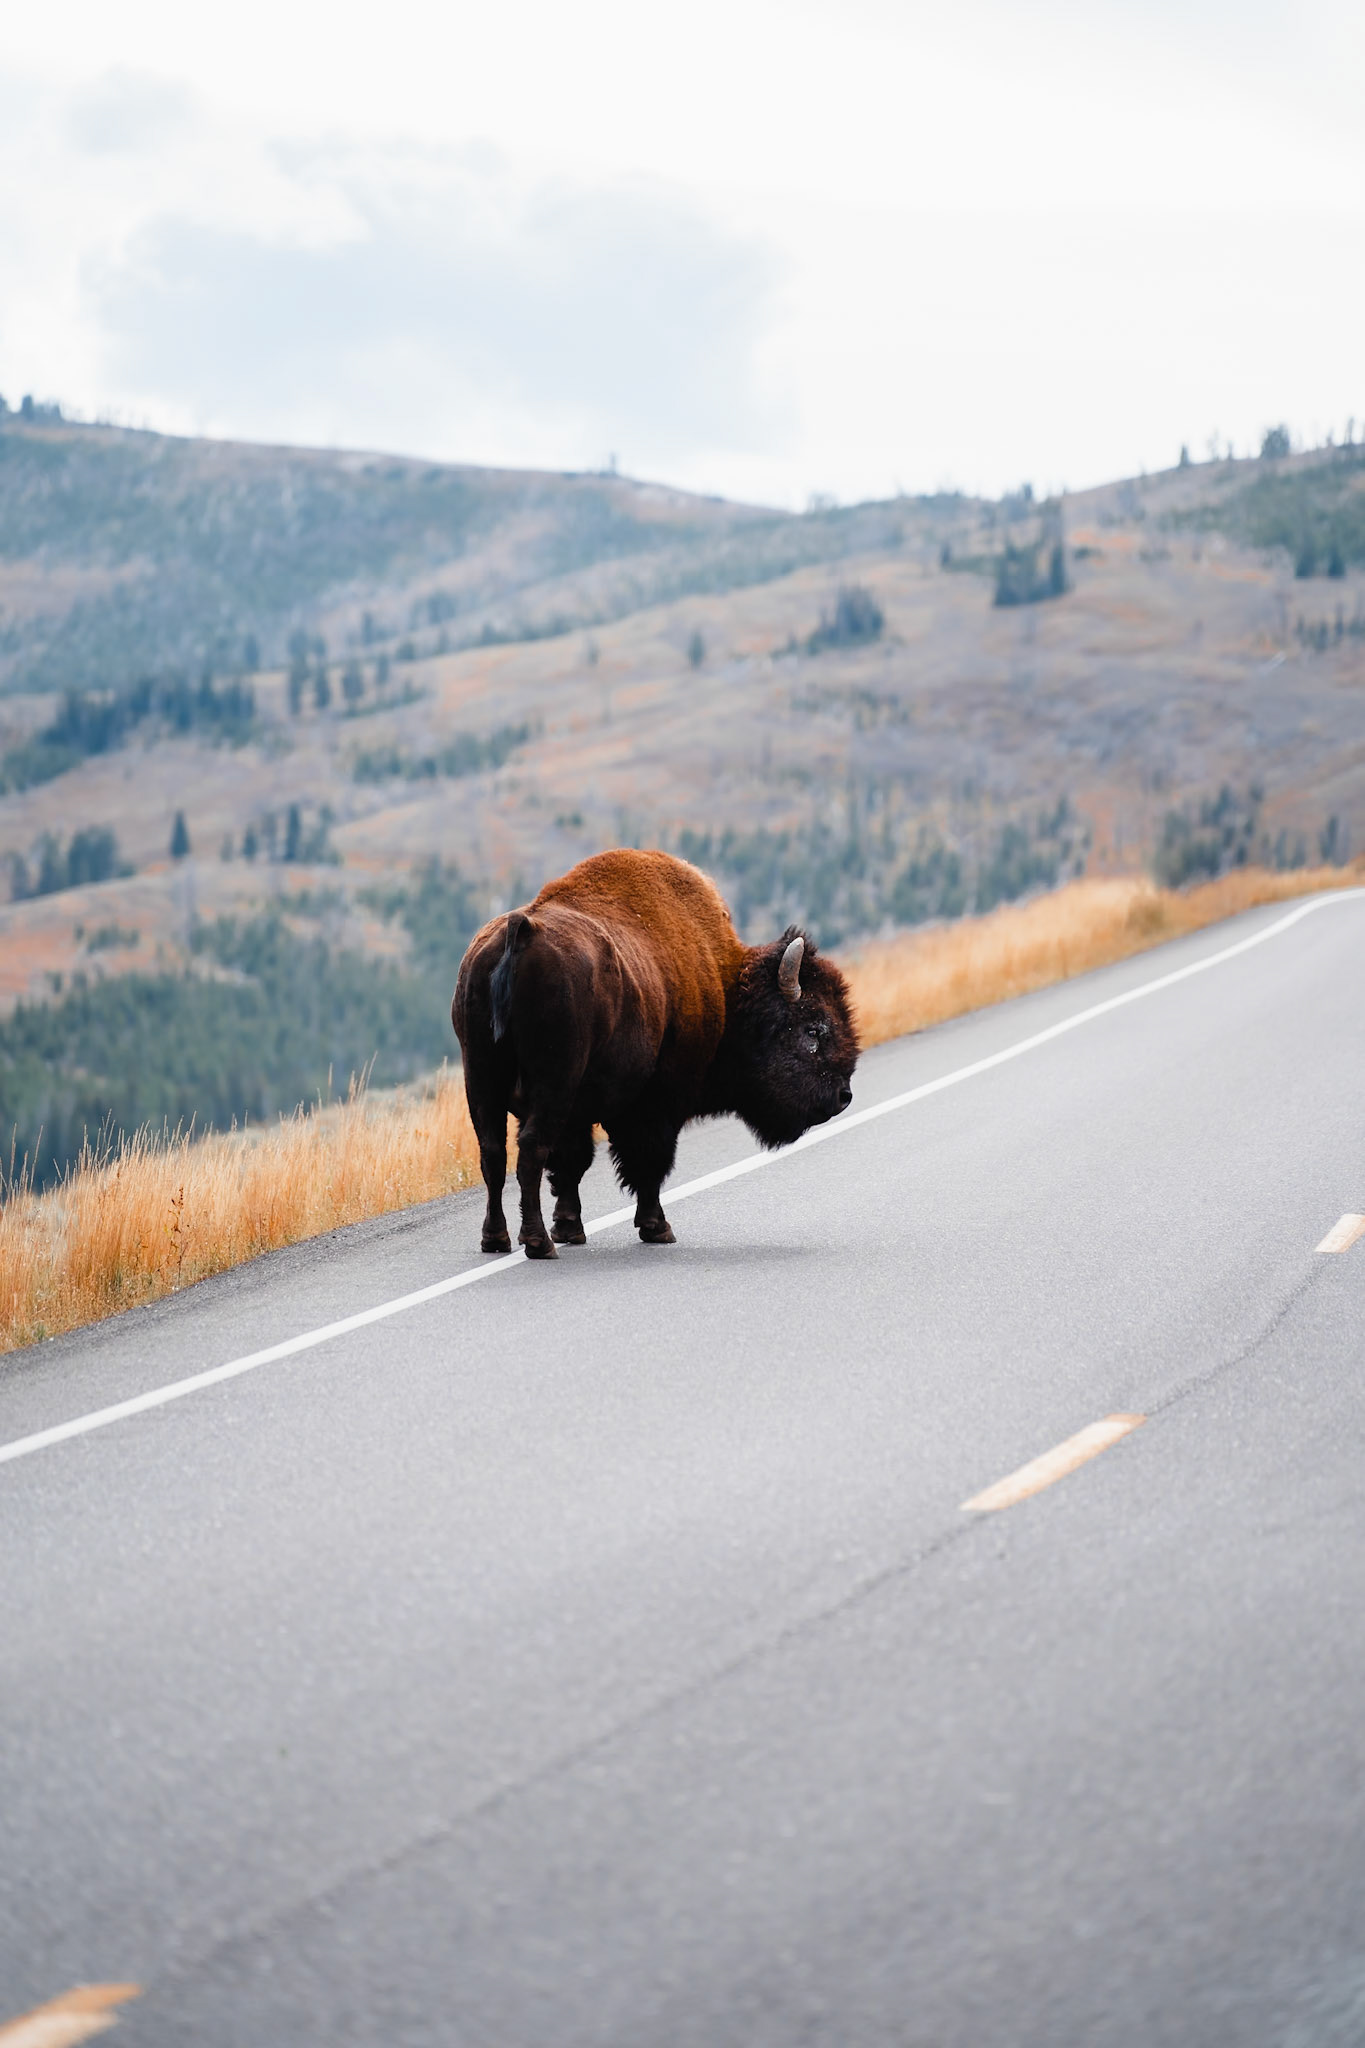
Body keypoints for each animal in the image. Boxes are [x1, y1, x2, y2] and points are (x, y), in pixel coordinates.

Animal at [452, 848, 859, 1258]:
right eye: (813, 1029)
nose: (843, 1096)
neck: (726, 987)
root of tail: (520, 932)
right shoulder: (659, 1104)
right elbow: (648, 1162)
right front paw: (657, 1227)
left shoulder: (580, 1113)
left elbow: (573, 1163)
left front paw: (570, 1227)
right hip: (551, 1081)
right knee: (530, 1149)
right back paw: (537, 1242)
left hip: (481, 1077)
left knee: (494, 1153)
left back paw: (497, 1239)